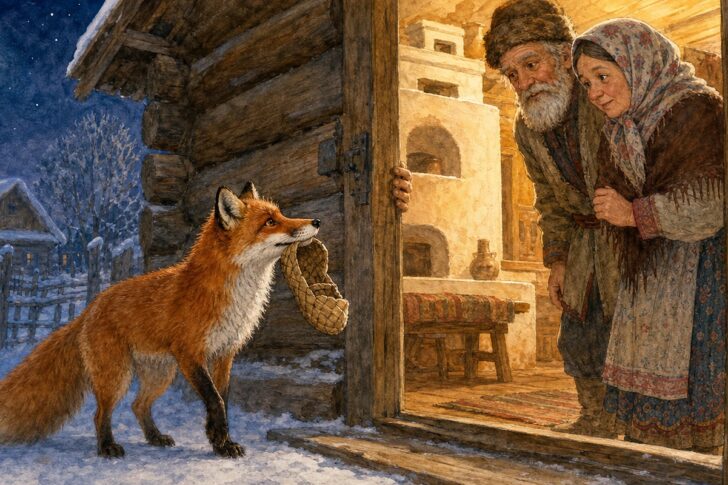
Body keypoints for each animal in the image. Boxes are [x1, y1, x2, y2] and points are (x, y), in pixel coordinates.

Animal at [0, 182, 319, 459]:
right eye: (270, 222)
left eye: (281, 214)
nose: (316, 220)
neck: (233, 296)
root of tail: (90, 308)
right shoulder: (190, 354)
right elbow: (215, 400)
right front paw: (220, 440)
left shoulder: (224, 354)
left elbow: (223, 401)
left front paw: (220, 441)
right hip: (118, 376)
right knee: (100, 413)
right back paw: (107, 448)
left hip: (160, 374)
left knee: (138, 405)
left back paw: (154, 437)